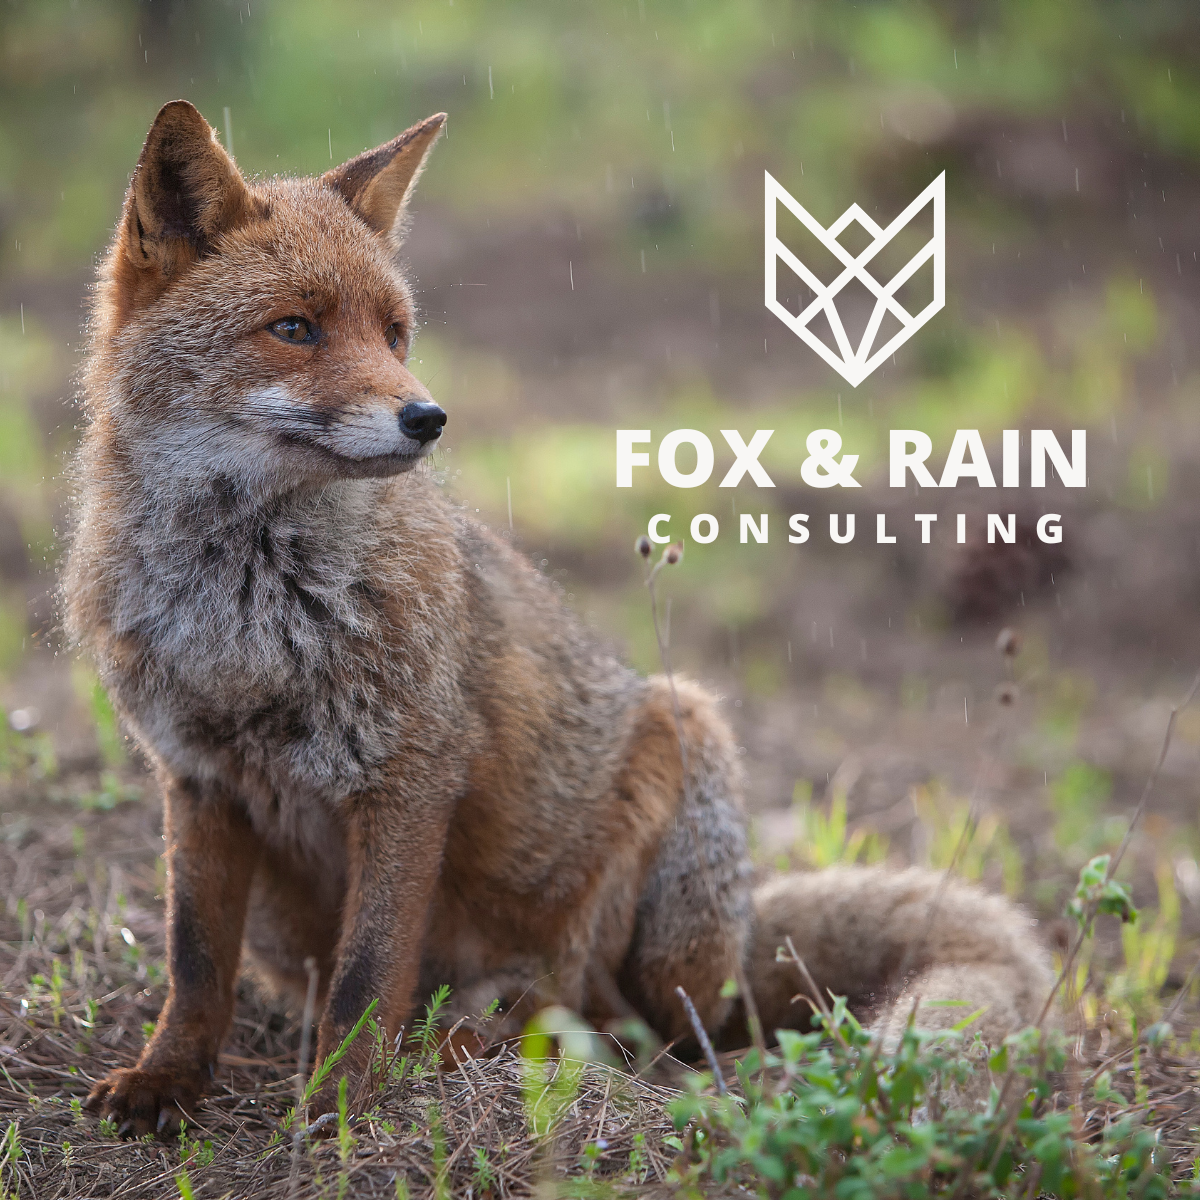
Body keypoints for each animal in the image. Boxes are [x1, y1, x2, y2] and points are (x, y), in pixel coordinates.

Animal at [63, 101, 1056, 1137]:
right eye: (293, 328)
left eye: (395, 334)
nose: (428, 417)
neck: (245, 612)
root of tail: (738, 938)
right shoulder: (197, 778)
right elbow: (194, 964)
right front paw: (166, 1080)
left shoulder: (412, 770)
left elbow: (366, 976)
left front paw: (340, 1102)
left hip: (673, 759)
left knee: (604, 1024)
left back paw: (473, 1051)